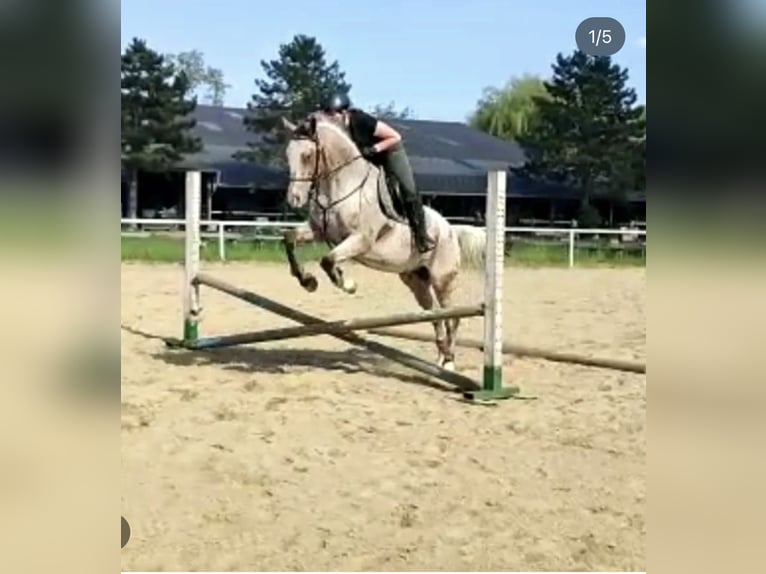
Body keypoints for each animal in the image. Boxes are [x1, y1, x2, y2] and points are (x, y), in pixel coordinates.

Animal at [280, 112, 486, 374]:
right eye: (287, 154)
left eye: (307, 155)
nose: (294, 199)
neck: (341, 184)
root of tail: (450, 229)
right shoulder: (318, 231)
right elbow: (290, 240)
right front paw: (308, 281)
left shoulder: (361, 239)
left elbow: (327, 260)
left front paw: (348, 284)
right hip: (416, 280)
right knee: (434, 314)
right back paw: (441, 357)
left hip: (443, 280)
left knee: (453, 316)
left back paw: (449, 361)